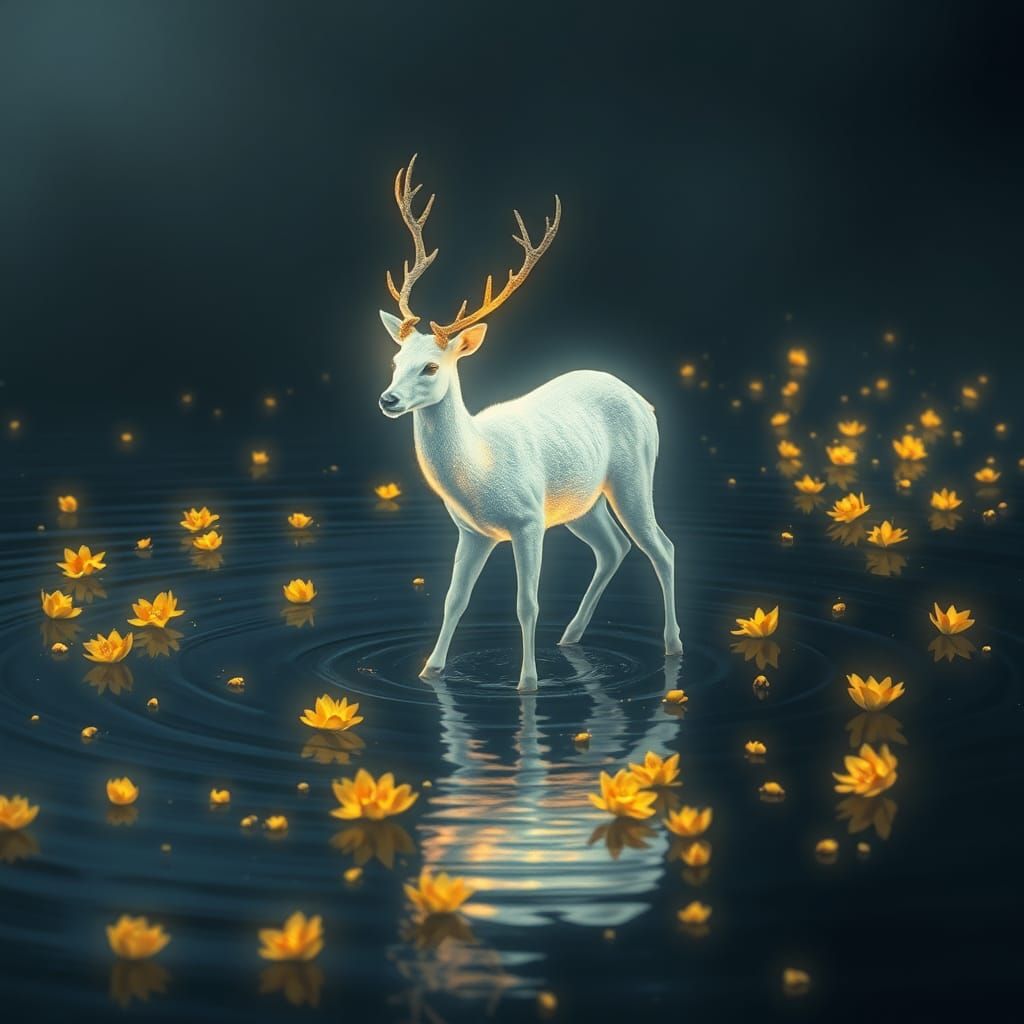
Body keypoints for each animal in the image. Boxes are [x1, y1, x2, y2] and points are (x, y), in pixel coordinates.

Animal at [378, 155, 681, 692]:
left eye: (431, 367)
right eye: (395, 359)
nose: (387, 399)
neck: (480, 469)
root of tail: (644, 402)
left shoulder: (528, 520)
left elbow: (526, 604)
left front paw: (528, 683)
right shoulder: (471, 531)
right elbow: (453, 600)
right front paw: (430, 668)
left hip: (632, 476)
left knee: (661, 547)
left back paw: (672, 645)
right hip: (580, 501)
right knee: (613, 548)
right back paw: (571, 636)